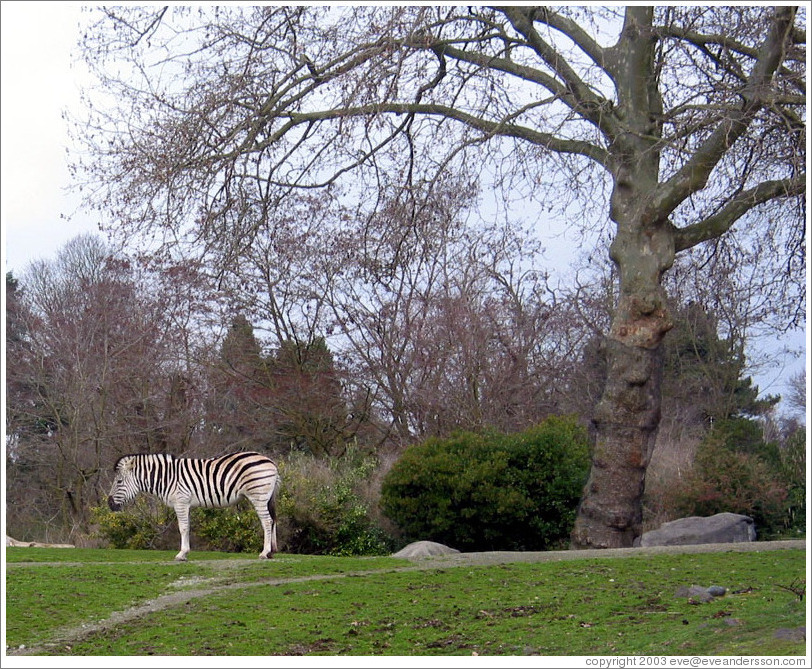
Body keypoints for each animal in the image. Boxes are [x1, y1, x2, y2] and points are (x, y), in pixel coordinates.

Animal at [108, 452, 280, 560]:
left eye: (119, 482)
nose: (109, 504)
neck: (166, 478)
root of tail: (271, 462)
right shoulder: (186, 504)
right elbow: (188, 527)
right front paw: (185, 552)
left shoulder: (180, 502)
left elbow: (183, 528)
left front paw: (181, 554)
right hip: (266, 497)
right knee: (273, 520)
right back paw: (272, 552)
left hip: (258, 495)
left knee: (267, 522)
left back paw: (264, 553)